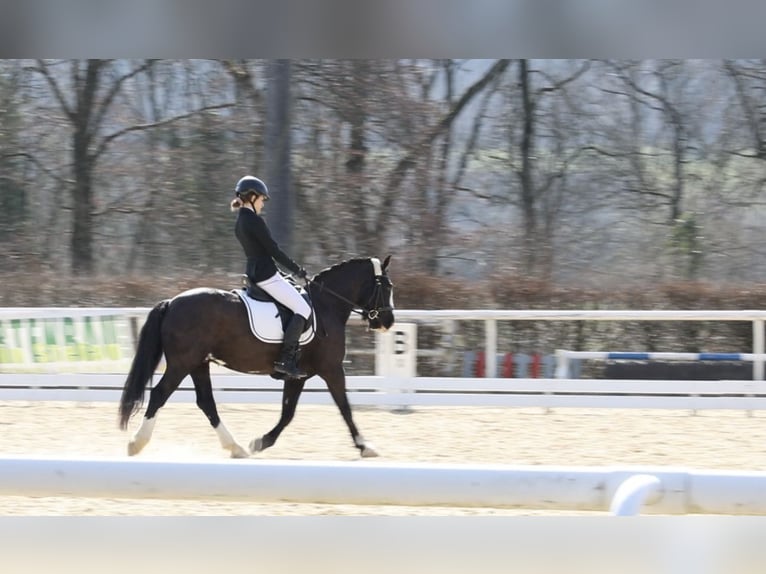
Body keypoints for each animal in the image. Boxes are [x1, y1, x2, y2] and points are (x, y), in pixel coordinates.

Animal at [121, 256, 396, 460]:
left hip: (198, 363)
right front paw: (365, 446)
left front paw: (261, 442)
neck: (327, 305)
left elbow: (288, 413)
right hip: (182, 363)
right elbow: (345, 408)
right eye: (388, 286)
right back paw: (136, 443)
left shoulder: (298, 376)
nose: (388, 321)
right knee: (160, 394)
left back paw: (237, 448)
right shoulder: (332, 369)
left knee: (206, 402)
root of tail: (172, 302)